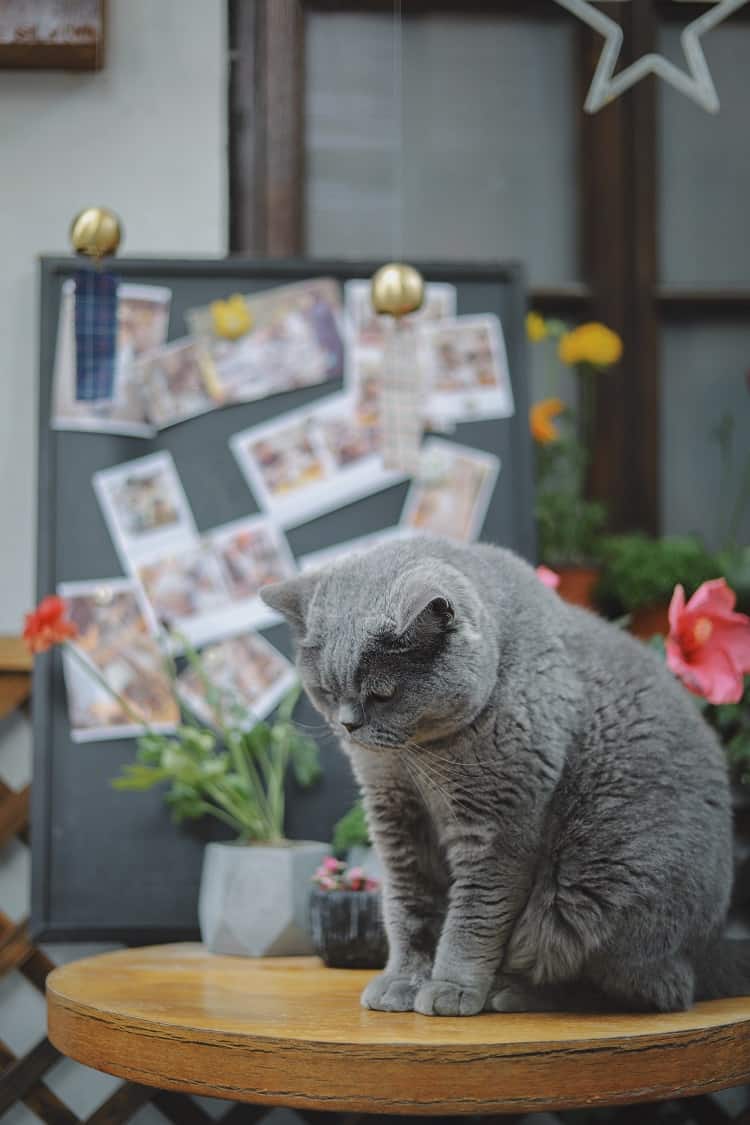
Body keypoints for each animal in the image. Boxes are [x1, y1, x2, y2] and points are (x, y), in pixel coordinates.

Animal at [260, 537, 746, 1021]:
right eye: (326, 691)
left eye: (382, 695)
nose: (348, 725)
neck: (418, 762)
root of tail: (711, 949)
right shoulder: (395, 818)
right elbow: (408, 906)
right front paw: (403, 980)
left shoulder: (496, 829)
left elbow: (473, 918)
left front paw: (451, 989)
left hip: (597, 893)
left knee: (642, 989)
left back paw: (513, 993)